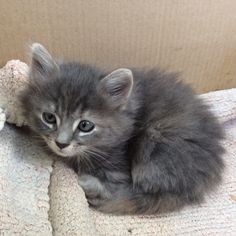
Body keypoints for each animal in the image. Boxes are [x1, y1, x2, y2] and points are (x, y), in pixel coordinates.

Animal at [19, 43, 223, 215]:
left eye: (85, 125)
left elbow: (110, 187)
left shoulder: (119, 169)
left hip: (156, 146)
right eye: (49, 117)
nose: (61, 143)